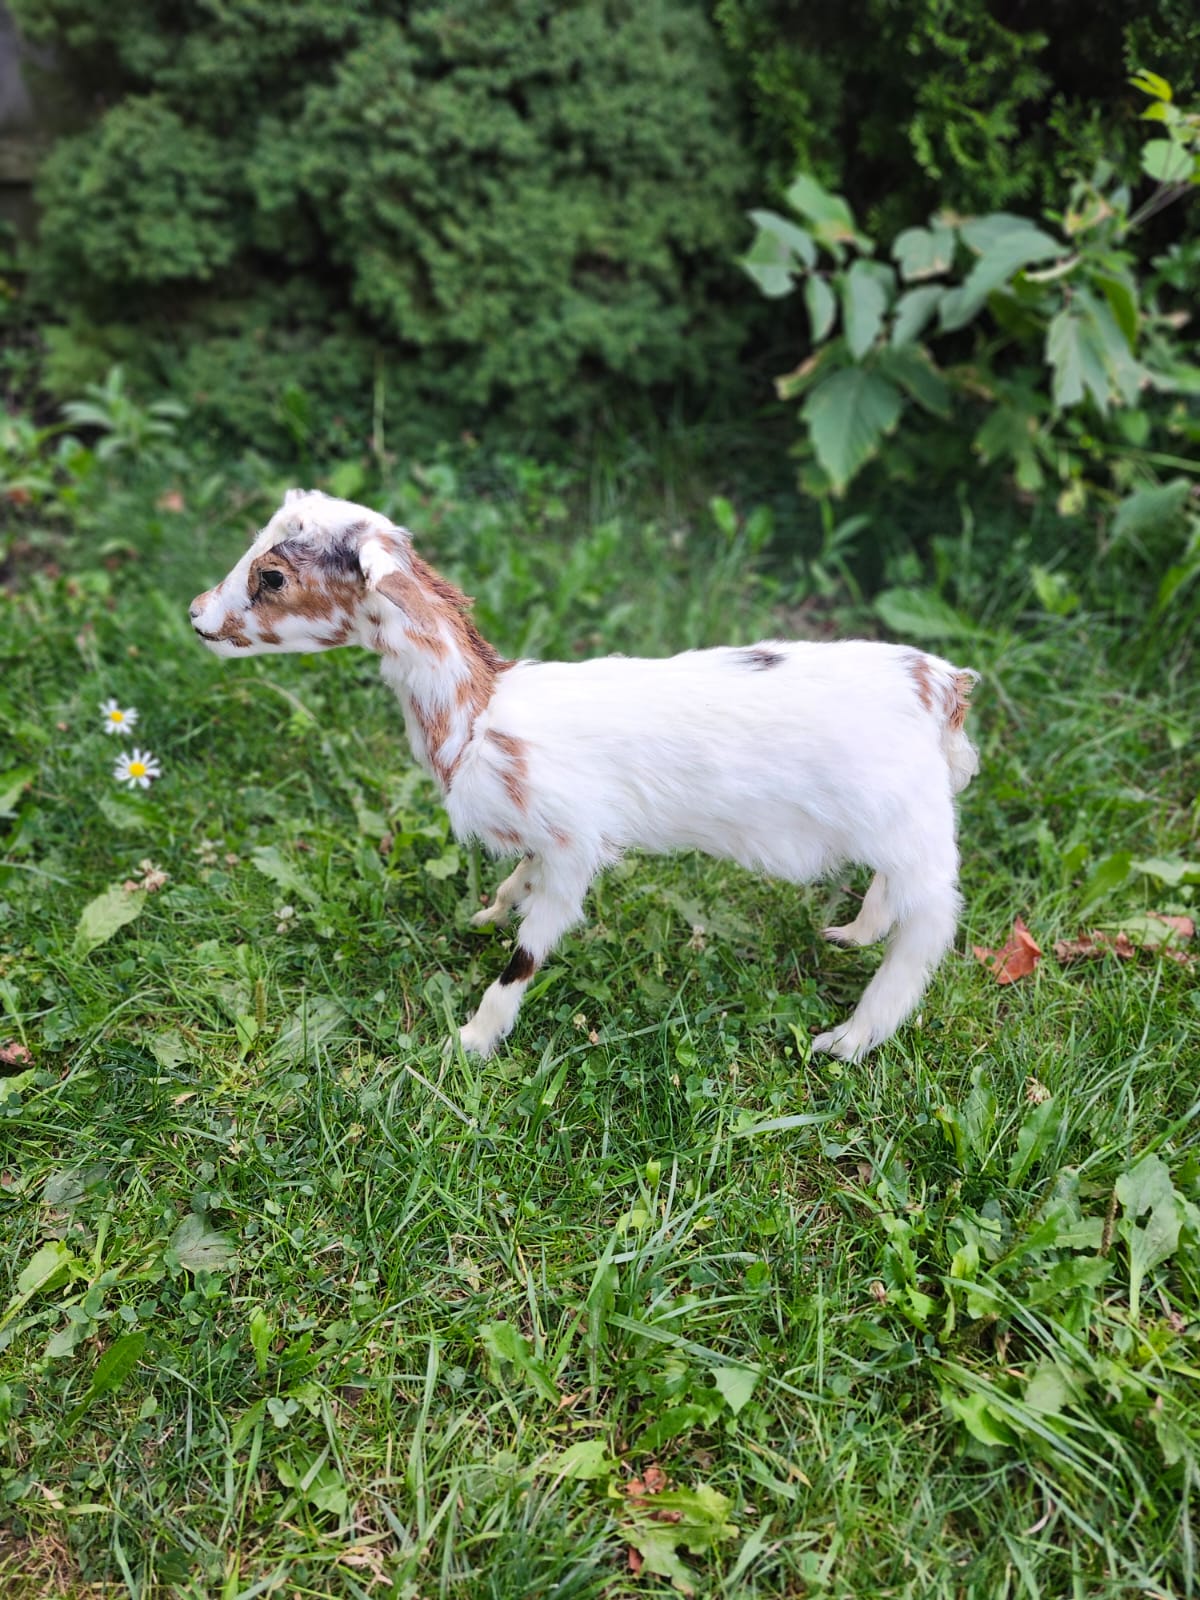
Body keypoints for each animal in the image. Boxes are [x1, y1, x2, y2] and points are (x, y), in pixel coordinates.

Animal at [190, 490, 979, 1061]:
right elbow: (516, 882)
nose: (196, 615)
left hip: (915, 830)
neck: (478, 717)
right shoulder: (545, 839)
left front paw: (471, 1041)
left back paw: (849, 1038)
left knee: (932, 919)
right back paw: (850, 934)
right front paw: (486, 913)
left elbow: (526, 954)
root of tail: (942, 685)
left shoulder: (575, 844)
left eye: (272, 576)